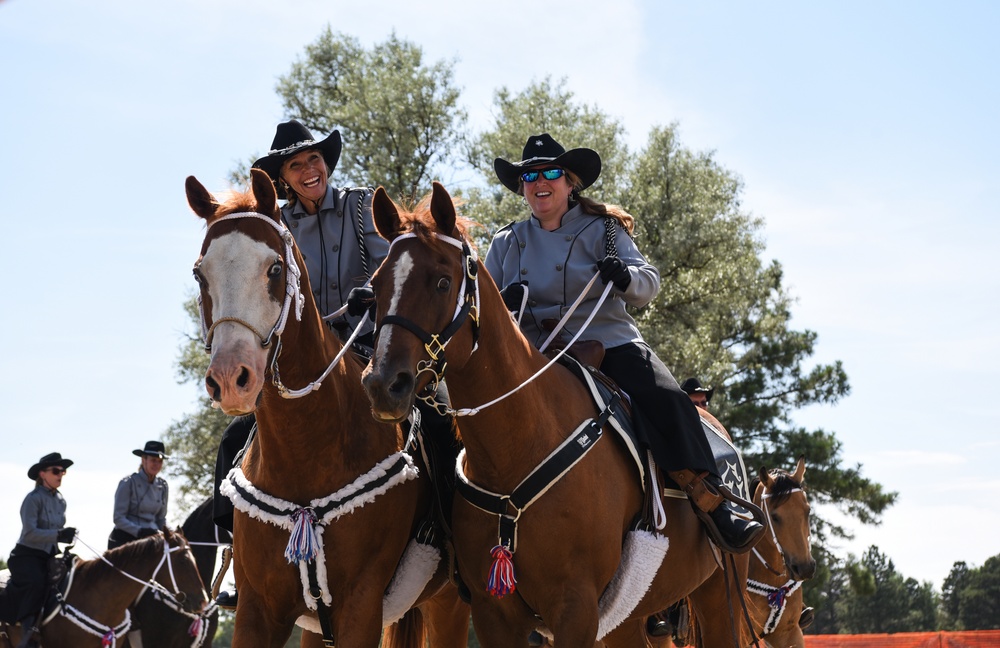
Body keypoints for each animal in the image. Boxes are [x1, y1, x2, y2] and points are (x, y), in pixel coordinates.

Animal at [183, 170, 468, 644]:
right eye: (199, 274)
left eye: (275, 268)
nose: (230, 378)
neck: (309, 449)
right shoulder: (258, 610)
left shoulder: (361, 607)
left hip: (445, 604)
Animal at [360, 182, 728, 648]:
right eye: (375, 285)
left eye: (443, 281)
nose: (383, 384)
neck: (519, 445)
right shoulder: (495, 612)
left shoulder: (576, 608)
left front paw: (618, 271)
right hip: (630, 615)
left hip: (718, 594)